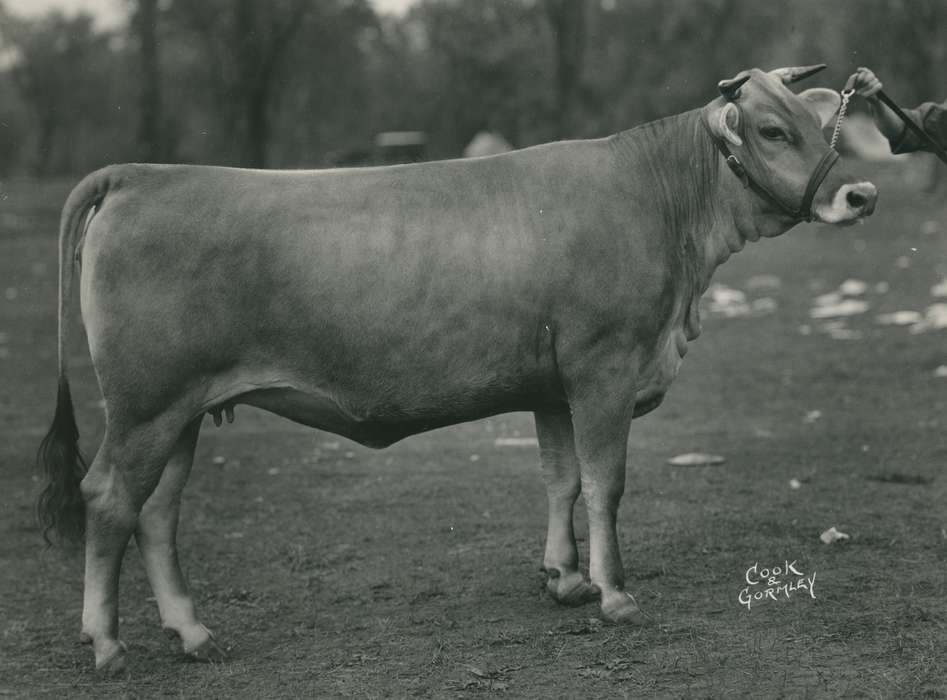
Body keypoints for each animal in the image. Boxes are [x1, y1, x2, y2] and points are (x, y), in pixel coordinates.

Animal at [37, 66, 877, 675]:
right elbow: (603, 483)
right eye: (772, 129)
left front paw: (564, 580)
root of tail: (138, 173)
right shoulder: (602, 367)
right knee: (109, 499)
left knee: (156, 512)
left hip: (179, 412)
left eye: (819, 123)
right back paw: (106, 643)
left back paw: (192, 631)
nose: (860, 192)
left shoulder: (550, 385)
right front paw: (613, 594)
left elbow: (559, 478)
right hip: (145, 406)